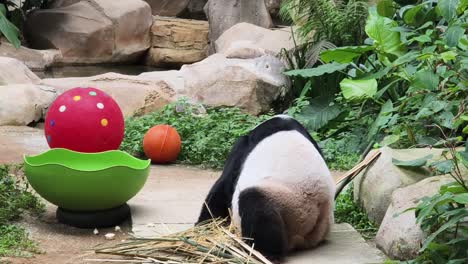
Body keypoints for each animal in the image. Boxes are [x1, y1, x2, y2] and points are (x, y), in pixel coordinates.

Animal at [196, 114, 334, 260]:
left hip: (288, 203)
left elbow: (223, 186)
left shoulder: (242, 148)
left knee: (255, 203)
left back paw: (259, 252)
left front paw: (204, 225)